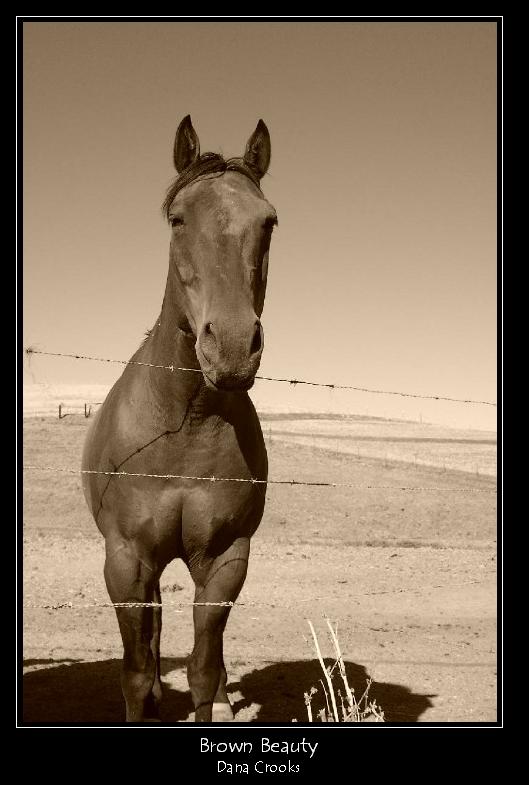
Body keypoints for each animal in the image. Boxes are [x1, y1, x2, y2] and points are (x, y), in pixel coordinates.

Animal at [82, 116, 276, 724]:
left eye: (268, 221)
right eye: (178, 219)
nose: (232, 347)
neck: (186, 425)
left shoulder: (225, 560)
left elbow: (203, 667)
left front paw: (212, 699)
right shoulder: (126, 559)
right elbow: (136, 670)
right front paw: (147, 694)